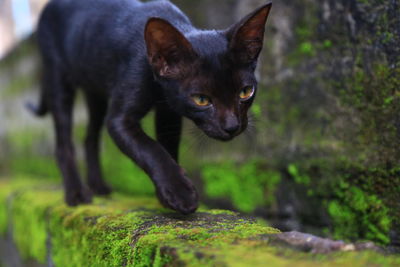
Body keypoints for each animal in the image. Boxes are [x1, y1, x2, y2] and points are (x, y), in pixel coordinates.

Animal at [28, 0, 272, 214]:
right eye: (201, 99)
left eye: (245, 92)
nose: (232, 126)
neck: (158, 86)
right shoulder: (120, 120)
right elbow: (151, 149)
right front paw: (180, 193)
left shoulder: (169, 114)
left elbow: (168, 149)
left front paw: (166, 195)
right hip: (58, 79)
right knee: (63, 144)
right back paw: (77, 193)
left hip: (95, 91)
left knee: (89, 138)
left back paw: (98, 186)